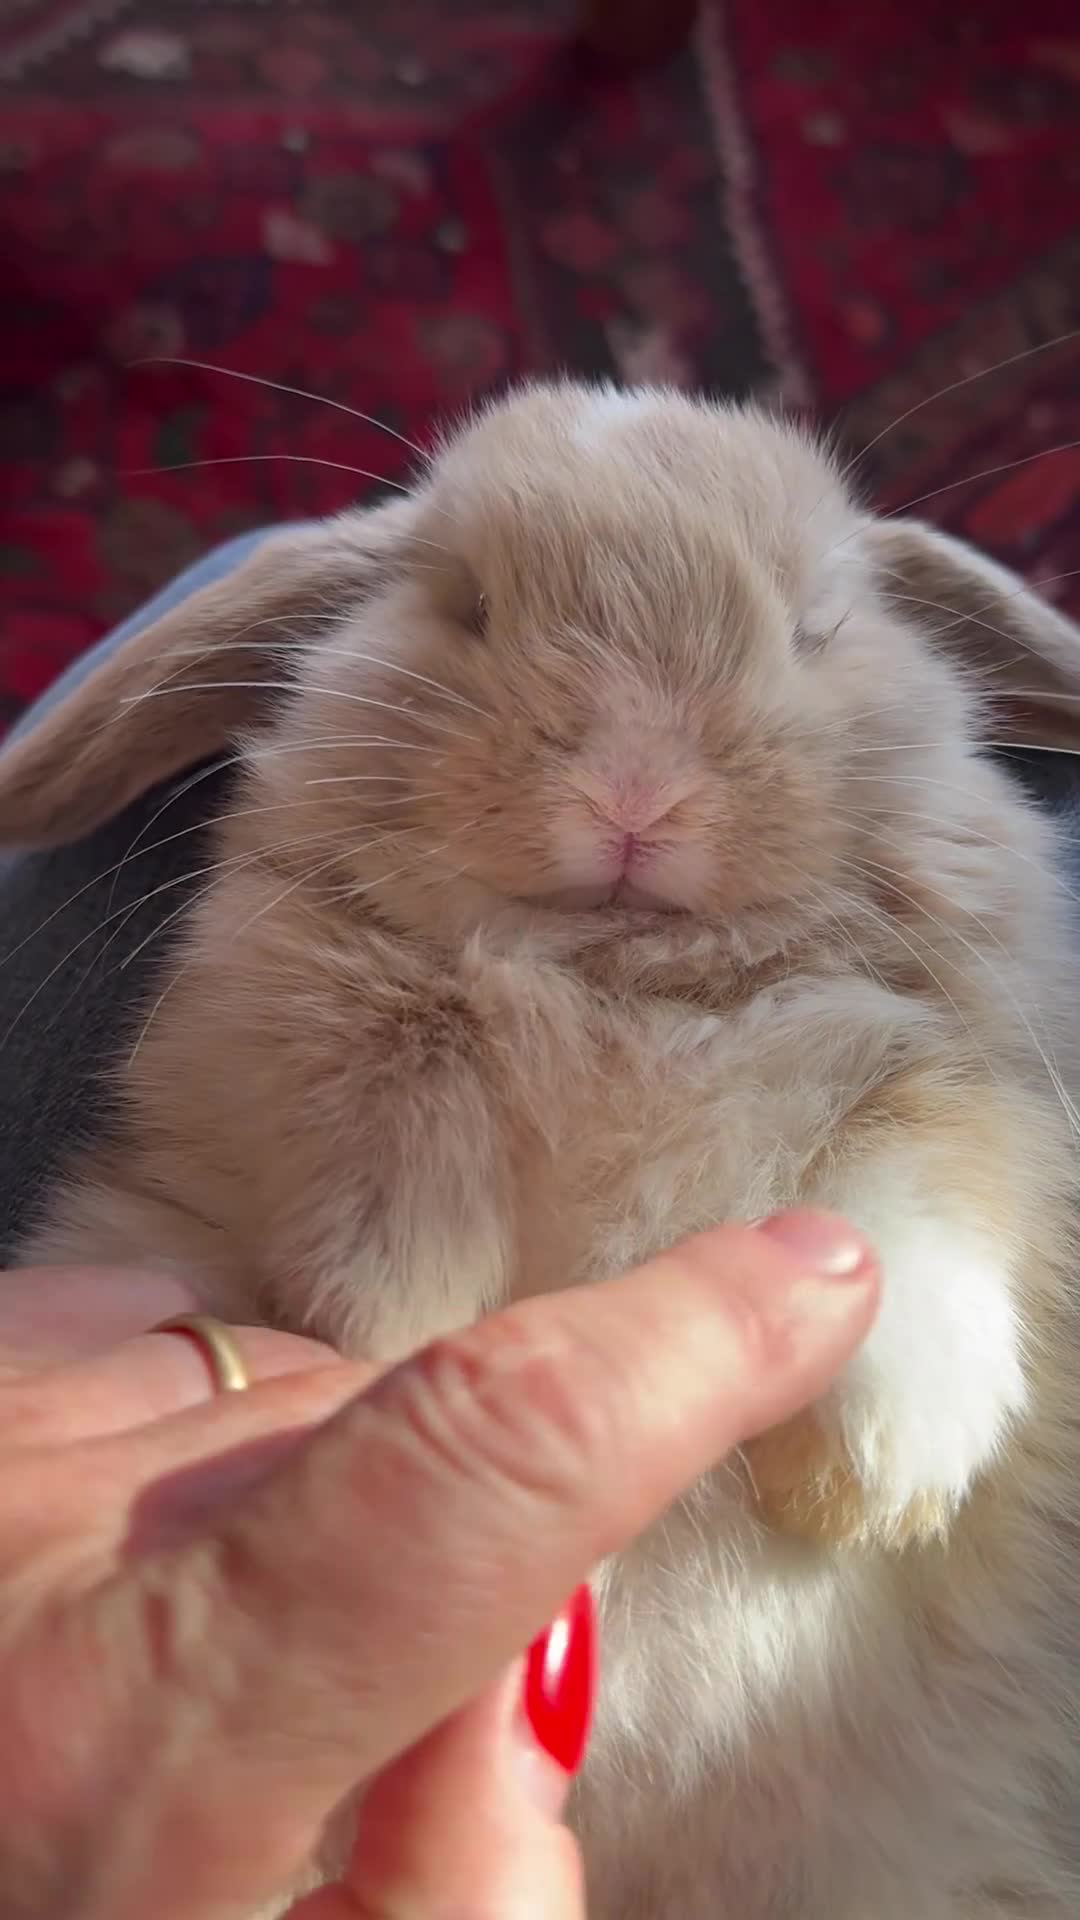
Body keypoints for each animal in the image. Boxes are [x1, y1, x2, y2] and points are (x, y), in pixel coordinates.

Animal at [2, 380, 1080, 1918]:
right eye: (464, 603)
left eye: (819, 625)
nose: (638, 790)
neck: (622, 976)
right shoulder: (288, 1027)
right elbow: (383, 1127)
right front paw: (400, 1329)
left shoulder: (966, 1077)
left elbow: (915, 1205)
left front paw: (875, 1487)